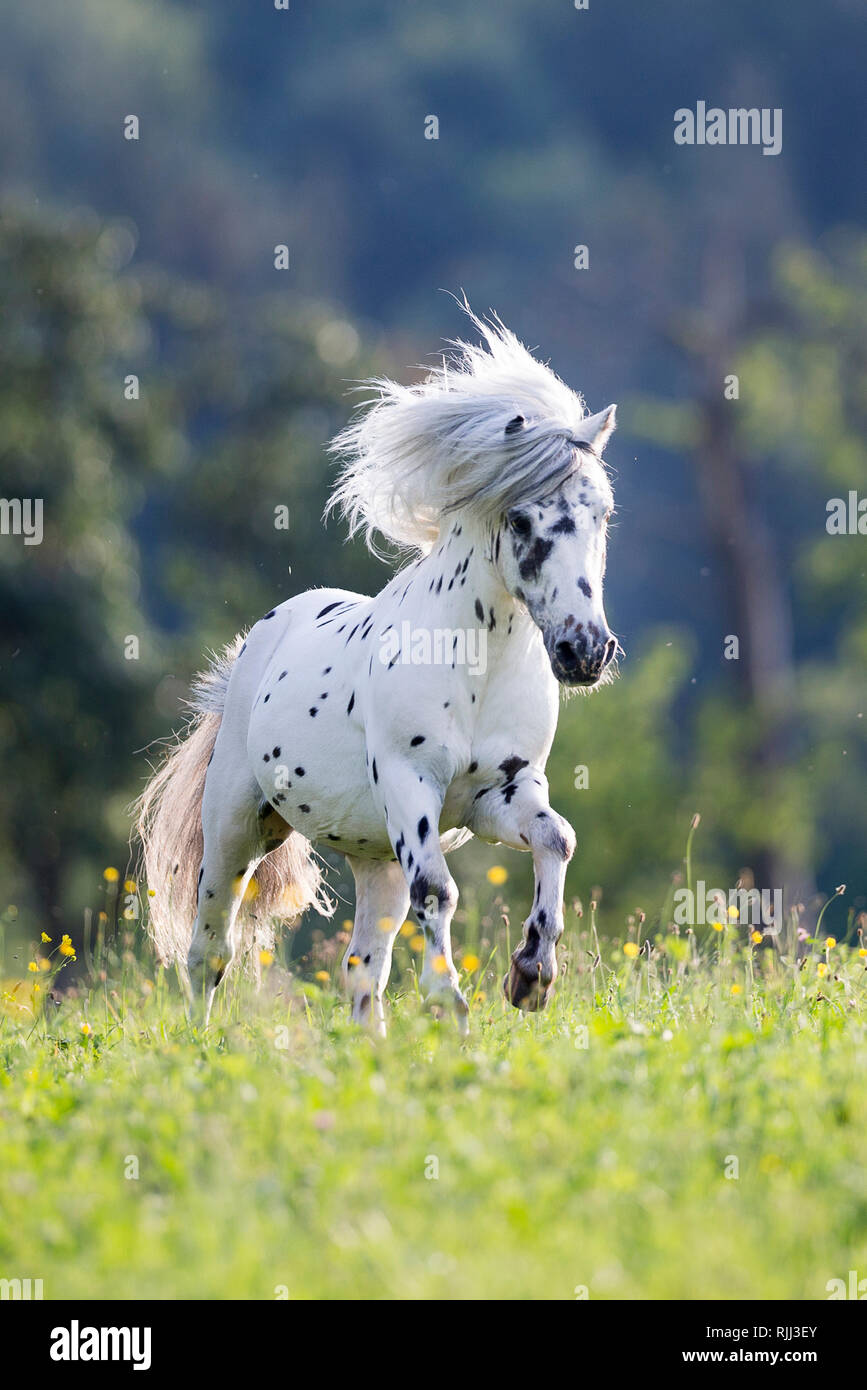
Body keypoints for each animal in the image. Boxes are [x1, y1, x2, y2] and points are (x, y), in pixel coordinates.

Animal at [135, 309, 619, 1039]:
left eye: (602, 513)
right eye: (521, 517)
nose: (584, 652)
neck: (476, 667)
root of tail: (261, 639)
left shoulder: (501, 793)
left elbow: (555, 839)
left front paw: (531, 975)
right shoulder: (410, 782)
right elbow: (439, 891)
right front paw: (452, 1005)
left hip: (373, 856)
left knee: (363, 966)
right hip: (235, 829)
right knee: (208, 951)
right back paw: (198, 1045)